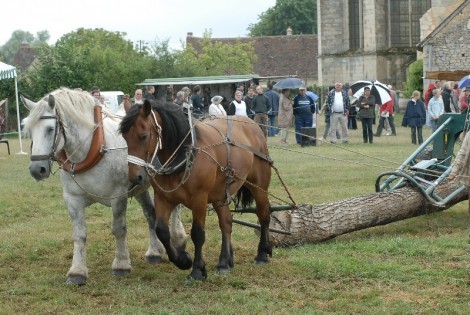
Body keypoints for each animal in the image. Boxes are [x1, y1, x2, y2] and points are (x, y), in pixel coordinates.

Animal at [23, 89, 186, 286]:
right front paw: (77, 271)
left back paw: (178, 237)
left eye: (50, 129)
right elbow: (79, 234)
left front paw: (121, 264)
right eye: (29, 130)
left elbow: (119, 229)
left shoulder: (118, 197)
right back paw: (155, 251)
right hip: (140, 185)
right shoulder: (73, 200)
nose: (36, 169)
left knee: (175, 207)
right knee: (150, 214)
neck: (91, 149)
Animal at [119, 100, 274, 280]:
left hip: (259, 186)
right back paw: (224, 262)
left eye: (143, 136)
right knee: (226, 222)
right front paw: (183, 260)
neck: (185, 154)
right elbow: (162, 231)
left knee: (264, 215)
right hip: (219, 194)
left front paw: (197, 270)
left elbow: (198, 234)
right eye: (124, 137)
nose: (134, 177)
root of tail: (253, 124)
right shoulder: (163, 198)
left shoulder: (200, 199)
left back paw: (262, 254)